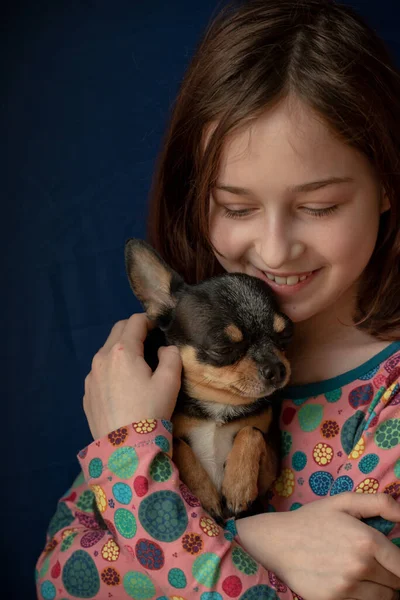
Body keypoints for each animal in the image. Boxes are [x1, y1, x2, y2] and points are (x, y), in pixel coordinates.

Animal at [123, 239, 292, 520]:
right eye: (222, 349)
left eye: (286, 336)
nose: (277, 369)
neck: (218, 405)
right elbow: (177, 442)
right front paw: (205, 495)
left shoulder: (269, 472)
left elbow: (251, 431)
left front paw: (238, 486)